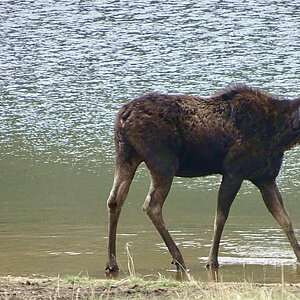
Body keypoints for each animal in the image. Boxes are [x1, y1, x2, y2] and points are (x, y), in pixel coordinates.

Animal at [105, 84, 300, 272]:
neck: (281, 136)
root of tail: (123, 116)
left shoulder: (265, 178)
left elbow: (285, 218)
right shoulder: (234, 171)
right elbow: (220, 217)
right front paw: (211, 261)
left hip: (125, 154)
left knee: (114, 200)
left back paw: (112, 262)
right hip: (163, 163)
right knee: (151, 206)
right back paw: (179, 259)